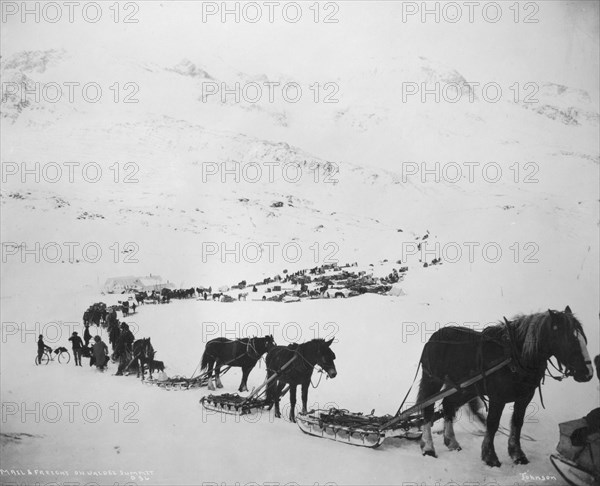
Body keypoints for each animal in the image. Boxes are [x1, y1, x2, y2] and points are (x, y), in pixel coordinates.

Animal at [420, 308, 592, 468]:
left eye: (584, 339)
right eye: (570, 340)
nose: (588, 373)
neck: (515, 357)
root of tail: (435, 336)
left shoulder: (524, 397)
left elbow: (517, 422)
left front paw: (517, 454)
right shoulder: (497, 398)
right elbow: (492, 424)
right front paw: (490, 457)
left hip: (465, 389)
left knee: (448, 404)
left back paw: (452, 442)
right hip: (432, 382)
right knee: (427, 410)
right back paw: (428, 447)